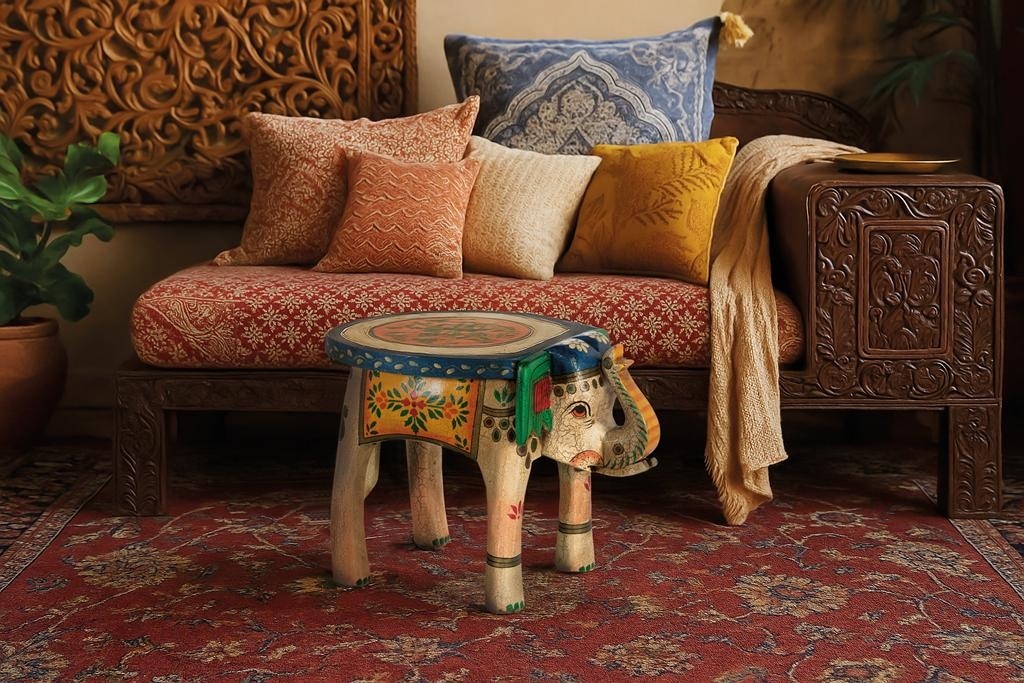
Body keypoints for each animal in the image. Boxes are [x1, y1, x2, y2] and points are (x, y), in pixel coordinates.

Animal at [329, 329, 660, 614]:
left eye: (611, 404)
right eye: (580, 410)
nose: (616, 355)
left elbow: (576, 475)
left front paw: (579, 571)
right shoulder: (506, 424)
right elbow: (508, 492)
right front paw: (509, 609)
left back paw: (434, 544)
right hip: (354, 408)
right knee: (349, 481)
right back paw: (354, 580)